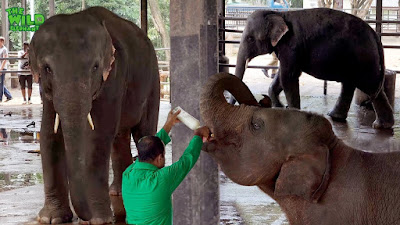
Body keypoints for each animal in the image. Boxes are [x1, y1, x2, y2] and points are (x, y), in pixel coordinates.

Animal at [28, 6, 159, 223]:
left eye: (95, 67)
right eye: (47, 68)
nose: (83, 216)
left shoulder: (114, 75)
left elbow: (98, 136)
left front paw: (100, 220)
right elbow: (48, 133)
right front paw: (51, 219)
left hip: (153, 82)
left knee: (144, 131)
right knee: (119, 137)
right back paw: (118, 191)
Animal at [234, 8, 394, 128]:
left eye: (250, 39)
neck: (279, 14)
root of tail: (375, 35)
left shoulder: (291, 46)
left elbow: (288, 76)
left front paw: (292, 113)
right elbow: (283, 76)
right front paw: (279, 106)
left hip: (363, 57)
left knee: (369, 85)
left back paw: (379, 126)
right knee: (352, 84)